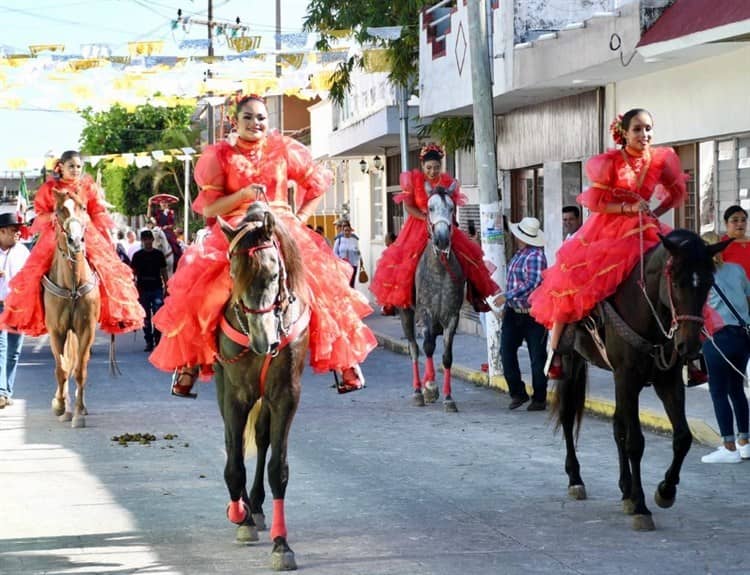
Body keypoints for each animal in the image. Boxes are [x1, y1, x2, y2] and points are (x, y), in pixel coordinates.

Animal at [213, 204, 310, 572]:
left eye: (272, 275)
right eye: (233, 275)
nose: (261, 341)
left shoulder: (285, 394)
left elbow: (277, 468)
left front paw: (281, 545)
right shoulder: (235, 394)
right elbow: (234, 460)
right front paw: (238, 516)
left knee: (263, 437)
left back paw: (254, 506)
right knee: (235, 444)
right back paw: (244, 510)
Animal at [402, 182, 468, 412]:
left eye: (451, 207)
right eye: (430, 208)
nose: (441, 239)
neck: (439, 268)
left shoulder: (452, 316)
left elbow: (447, 356)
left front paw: (448, 398)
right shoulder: (426, 313)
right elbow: (428, 346)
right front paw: (429, 387)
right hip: (407, 314)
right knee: (414, 348)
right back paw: (418, 391)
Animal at [556, 230, 732, 532]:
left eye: (709, 283)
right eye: (676, 281)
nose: (689, 346)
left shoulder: (667, 380)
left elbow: (682, 437)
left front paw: (665, 491)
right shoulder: (626, 377)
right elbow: (635, 442)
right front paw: (641, 507)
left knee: (617, 426)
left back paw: (625, 488)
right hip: (572, 363)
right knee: (568, 417)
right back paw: (576, 479)